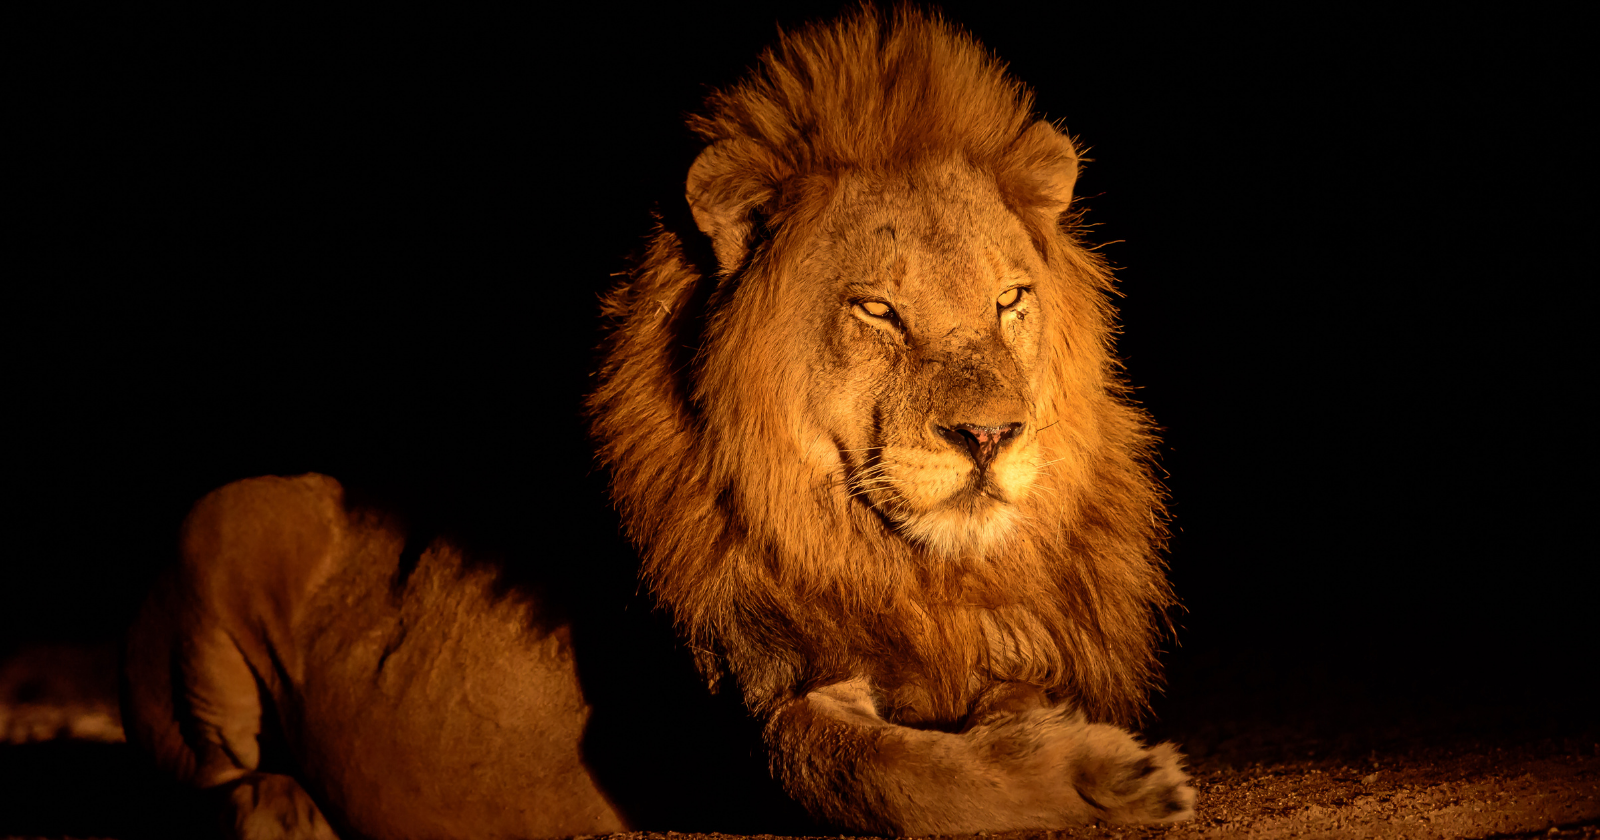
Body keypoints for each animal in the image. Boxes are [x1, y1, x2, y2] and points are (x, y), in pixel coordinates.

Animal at [121, 9, 1192, 838]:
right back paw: (282, 807)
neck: (887, 558)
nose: (990, 438)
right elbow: (884, 779)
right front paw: (1116, 777)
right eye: (878, 310)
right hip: (231, 521)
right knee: (204, 773)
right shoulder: (710, 737)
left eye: (1011, 300)